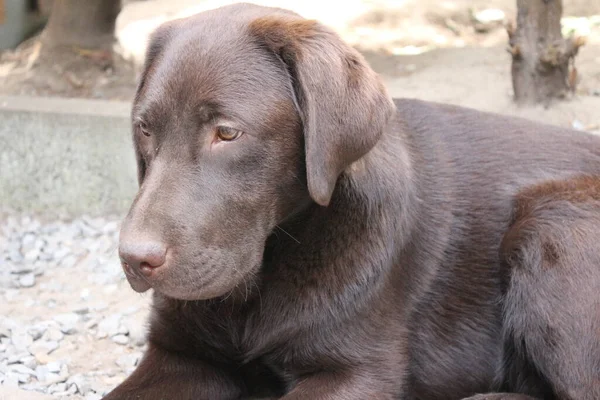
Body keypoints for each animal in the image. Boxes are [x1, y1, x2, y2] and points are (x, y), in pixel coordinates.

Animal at [105, 3, 600, 400]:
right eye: (144, 128)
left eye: (226, 132)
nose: (133, 258)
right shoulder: (180, 355)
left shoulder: (355, 370)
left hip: (550, 222)